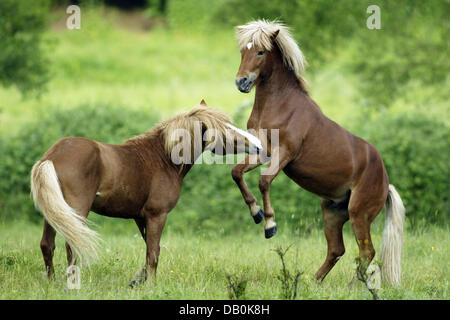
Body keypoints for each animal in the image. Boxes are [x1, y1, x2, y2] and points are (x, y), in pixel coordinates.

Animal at [30, 100, 260, 284]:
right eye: (225, 129)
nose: (257, 144)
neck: (163, 158)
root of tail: (51, 157)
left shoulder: (140, 218)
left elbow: (149, 248)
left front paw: (138, 280)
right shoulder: (157, 215)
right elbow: (153, 253)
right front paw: (151, 285)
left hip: (55, 213)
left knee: (47, 245)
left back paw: (52, 283)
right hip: (76, 211)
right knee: (72, 247)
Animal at [232, 20, 404, 284]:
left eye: (260, 52)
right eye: (243, 51)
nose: (241, 82)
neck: (280, 105)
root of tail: (386, 183)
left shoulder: (285, 153)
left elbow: (264, 181)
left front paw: (270, 225)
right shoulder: (262, 152)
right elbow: (237, 173)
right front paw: (256, 214)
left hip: (359, 213)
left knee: (367, 251)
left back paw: (352, 286)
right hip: (332, 212)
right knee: (337, 249)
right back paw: (314, 282)